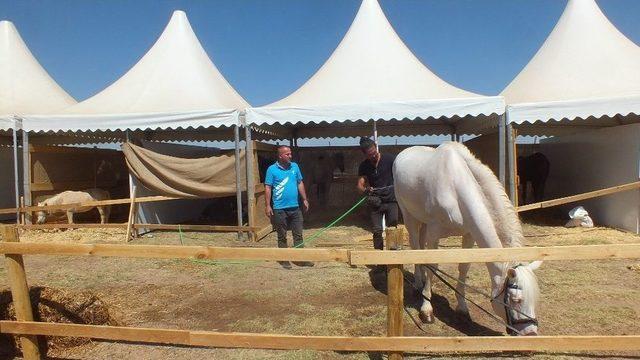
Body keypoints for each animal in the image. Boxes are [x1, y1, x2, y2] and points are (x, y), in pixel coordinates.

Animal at [396, 142, 540, 336]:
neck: (455, 189)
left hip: (423, 222)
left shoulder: (469, 234)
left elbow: (464, 267)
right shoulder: (434, 232)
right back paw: (418, 284)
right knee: (415, 247)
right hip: (409, 217)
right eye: (515, 299)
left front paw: (462, 307)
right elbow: (433, 265)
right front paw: (427, 309)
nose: (531, 333)